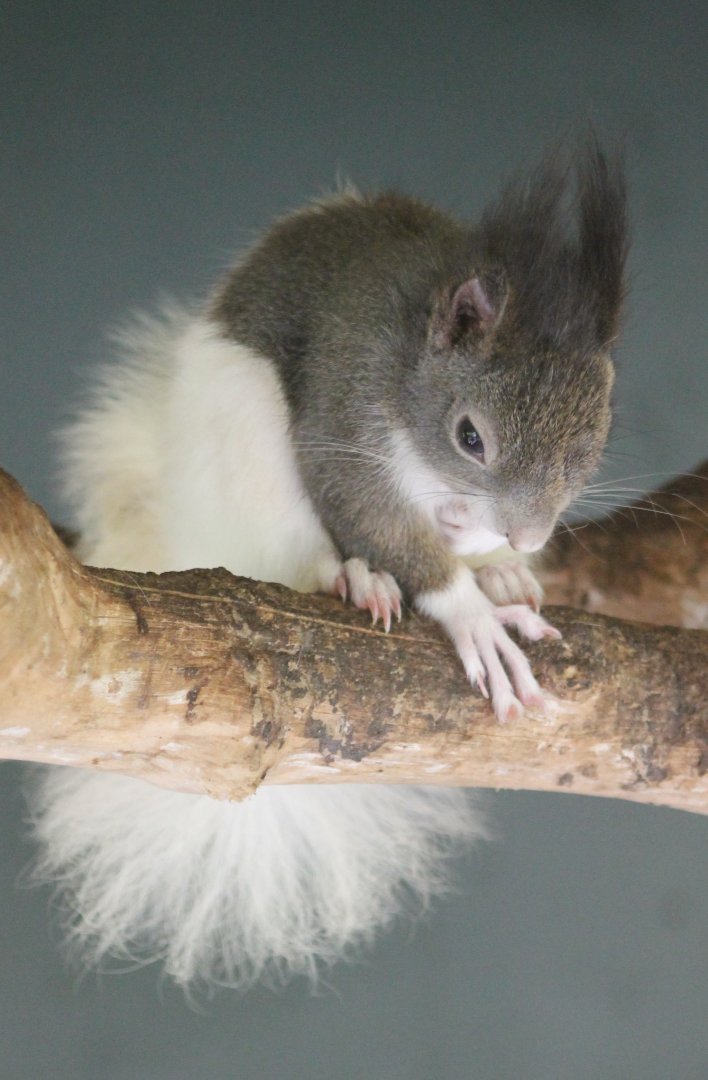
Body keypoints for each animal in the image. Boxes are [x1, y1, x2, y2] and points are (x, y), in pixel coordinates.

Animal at [29, 139, 627, 991]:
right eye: (470, 436)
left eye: (589, 447)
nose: (525, 529)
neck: (415, 364)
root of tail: (191, 526)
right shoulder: (345, 411)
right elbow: (371, 513)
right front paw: (470, 615)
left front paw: (498, 571)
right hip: (250, 459)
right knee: (303, 554)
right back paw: (356, 577)